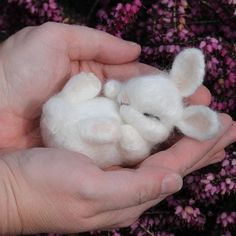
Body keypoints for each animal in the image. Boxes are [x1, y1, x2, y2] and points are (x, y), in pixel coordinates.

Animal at [40, 48, 219, 169]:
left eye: (151, 116)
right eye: (147, 79)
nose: (125, 101)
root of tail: (52, 130)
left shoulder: (139, 152)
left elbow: (134, 146)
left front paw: (126, 132)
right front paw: (111, 88)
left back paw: (105, 127)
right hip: (58, 107)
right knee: (60, 101)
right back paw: (88, 82)